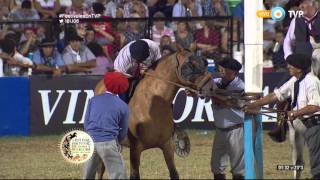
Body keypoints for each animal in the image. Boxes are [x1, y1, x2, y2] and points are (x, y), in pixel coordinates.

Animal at [93, 46, 212, 179]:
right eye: (190, 65)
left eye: (205, 62)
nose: (211, 86)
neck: (152, 104)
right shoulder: (135, 149)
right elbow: (134, 175)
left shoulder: (167, 145)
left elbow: (174, 173)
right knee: (101, 168)